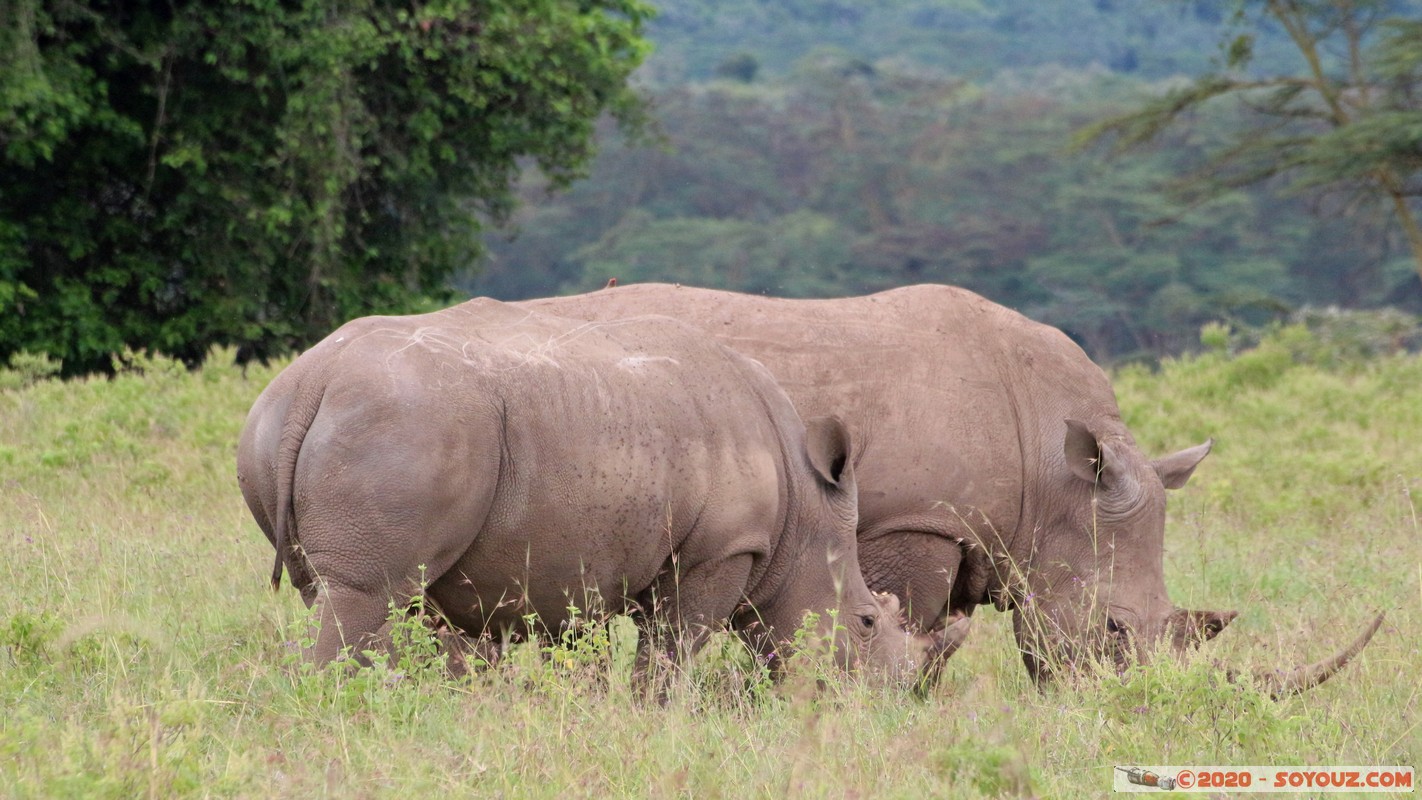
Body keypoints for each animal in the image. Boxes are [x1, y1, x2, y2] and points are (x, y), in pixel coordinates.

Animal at [236, 298, 946, 691]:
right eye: (866, 622)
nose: (885, 702)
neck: (804, 508)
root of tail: (317, 377)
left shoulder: (574, 554)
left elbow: (576, 647)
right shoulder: (720, 551)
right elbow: (674, 647)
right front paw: (655, 715)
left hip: (284, 425)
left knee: (344, 594)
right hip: (409, 421)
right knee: (366, 594)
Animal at [519, 283, 1382, 693]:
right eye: (1112, 631)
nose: (1147, 709)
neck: (1055, 473)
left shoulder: (975, 535)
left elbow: (933, 643)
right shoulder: (914, 523)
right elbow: (910, 632)